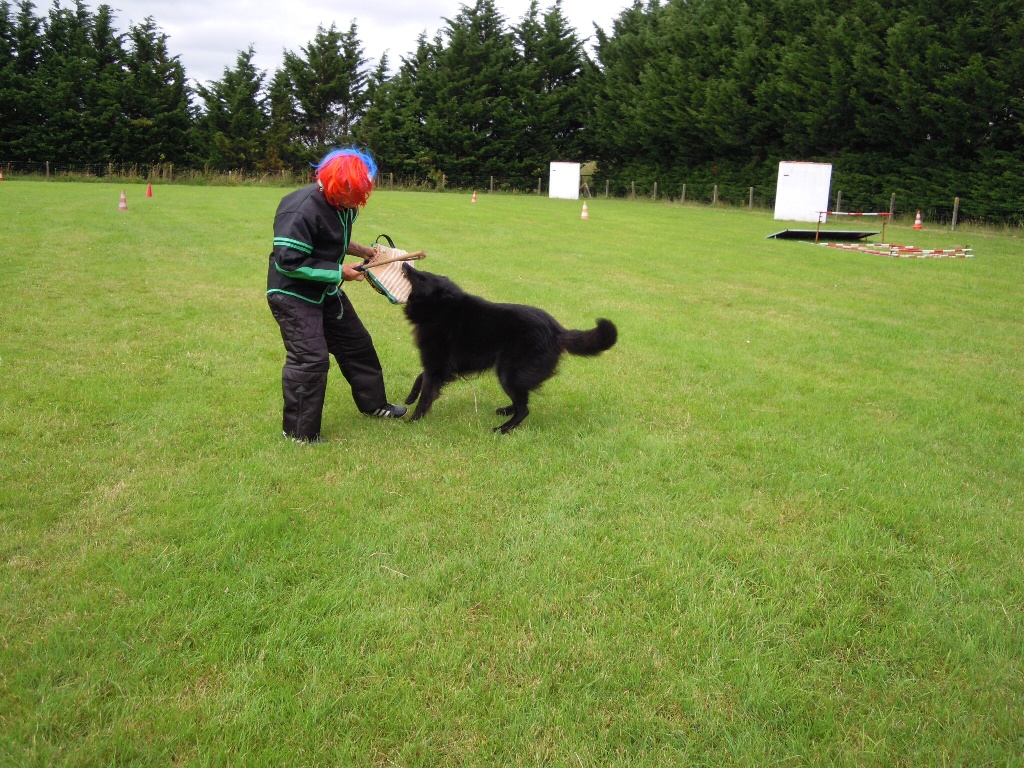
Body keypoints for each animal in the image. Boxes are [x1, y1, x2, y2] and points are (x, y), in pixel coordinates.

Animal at [401, 264, 614, 434]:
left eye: (421, 278)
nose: (404, 264)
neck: (443, 309)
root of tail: (557, 331)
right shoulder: (438, 366)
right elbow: (420, 378)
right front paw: (410, 398)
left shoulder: (436, 366)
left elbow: (426, 395)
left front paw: (413, 420)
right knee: (522, 399)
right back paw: (506, 411)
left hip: (508, 373)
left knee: (524, 408)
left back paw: (503, 429)